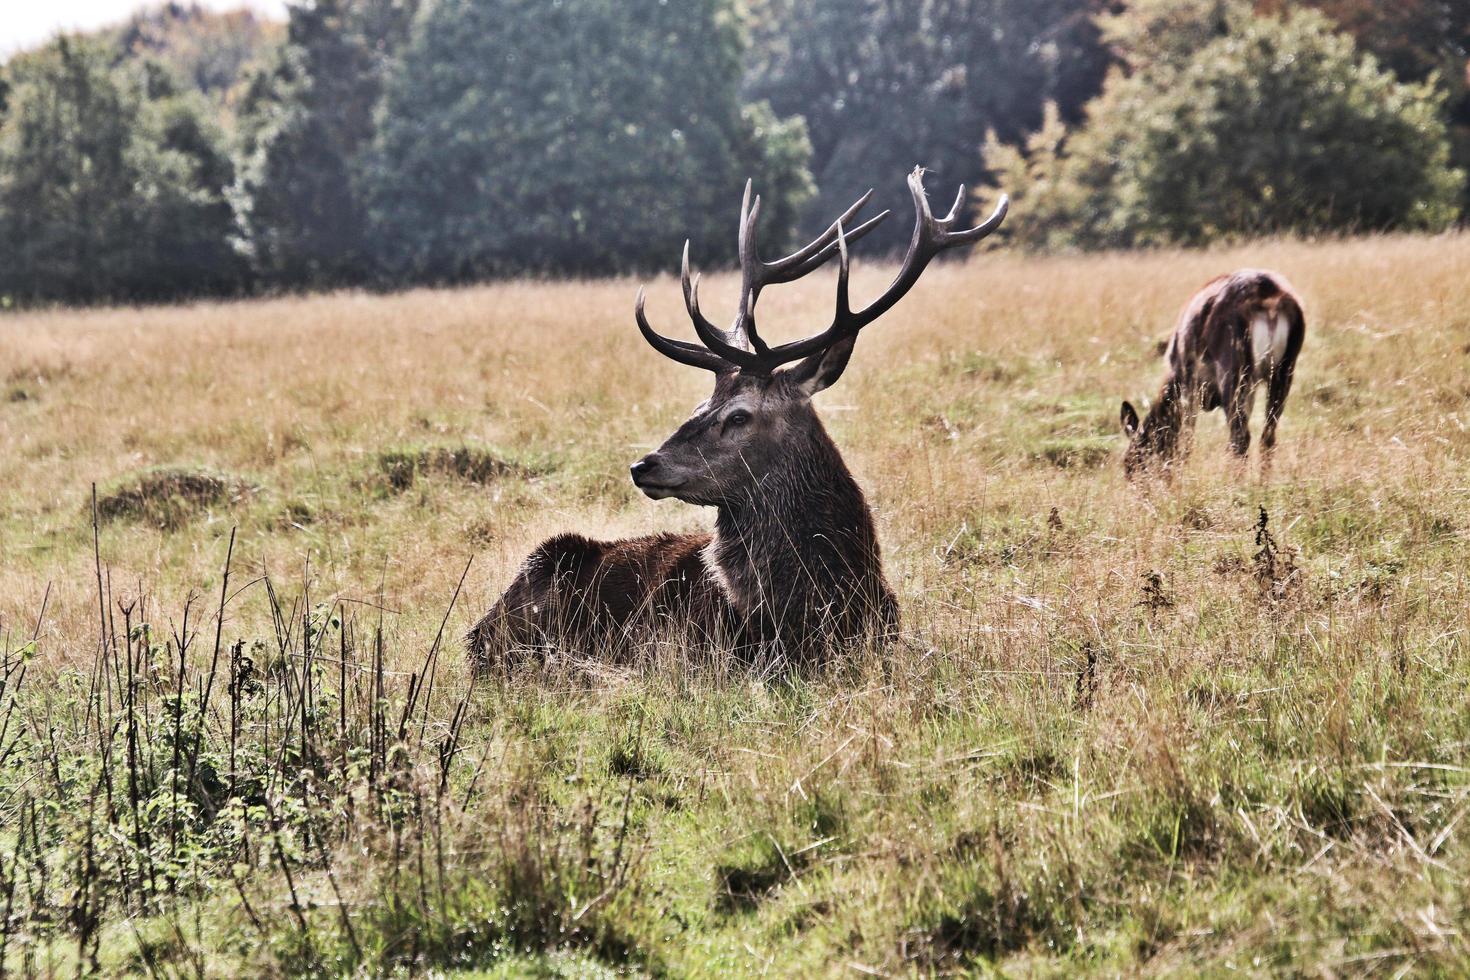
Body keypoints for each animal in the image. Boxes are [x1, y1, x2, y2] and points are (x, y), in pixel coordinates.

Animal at [1117, 270, 1305, 481]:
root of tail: (1269, 300)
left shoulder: (1189, 386)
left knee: (1241, 436)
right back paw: (1261, 484)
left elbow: (1186, 438)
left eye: (1132, 463)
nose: (1139, 488)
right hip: (1283, 370)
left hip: (1233, 373)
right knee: (1267, 435)